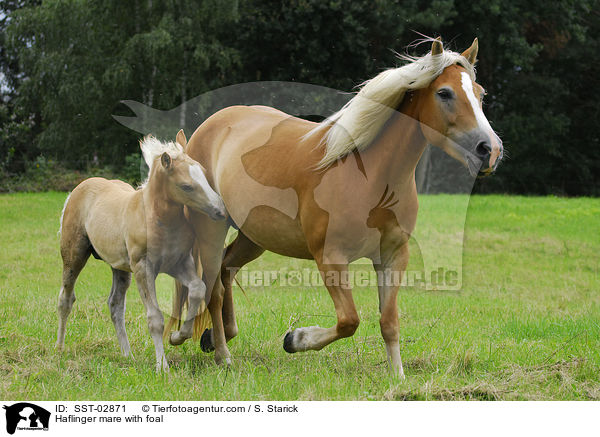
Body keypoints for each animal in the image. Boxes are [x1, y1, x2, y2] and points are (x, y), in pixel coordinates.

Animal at [168, 37, 502, 376]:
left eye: (480, 93)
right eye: (444, 93)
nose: (489, 150)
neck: (371, 179)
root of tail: (209, 126)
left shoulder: (392, 256)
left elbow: (389, 321)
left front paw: (397, 376)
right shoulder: (331, 258)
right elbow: (349, 321)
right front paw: (295, 339)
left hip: (255, 237)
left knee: (226, 269)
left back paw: (215, 337)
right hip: (211, 229)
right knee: (214, 287)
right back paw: (222, 354)